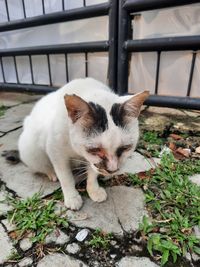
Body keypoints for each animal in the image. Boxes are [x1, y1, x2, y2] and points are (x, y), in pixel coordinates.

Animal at [18, 78, 148, 210]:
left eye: (125, 148)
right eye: (95, 149)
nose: (112, 170)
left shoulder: (91, 161)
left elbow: (92, 173)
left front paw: (94, 190)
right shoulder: (56, 151)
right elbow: (66, 177)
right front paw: (72, 197)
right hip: (31, 149)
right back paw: (52, 173)